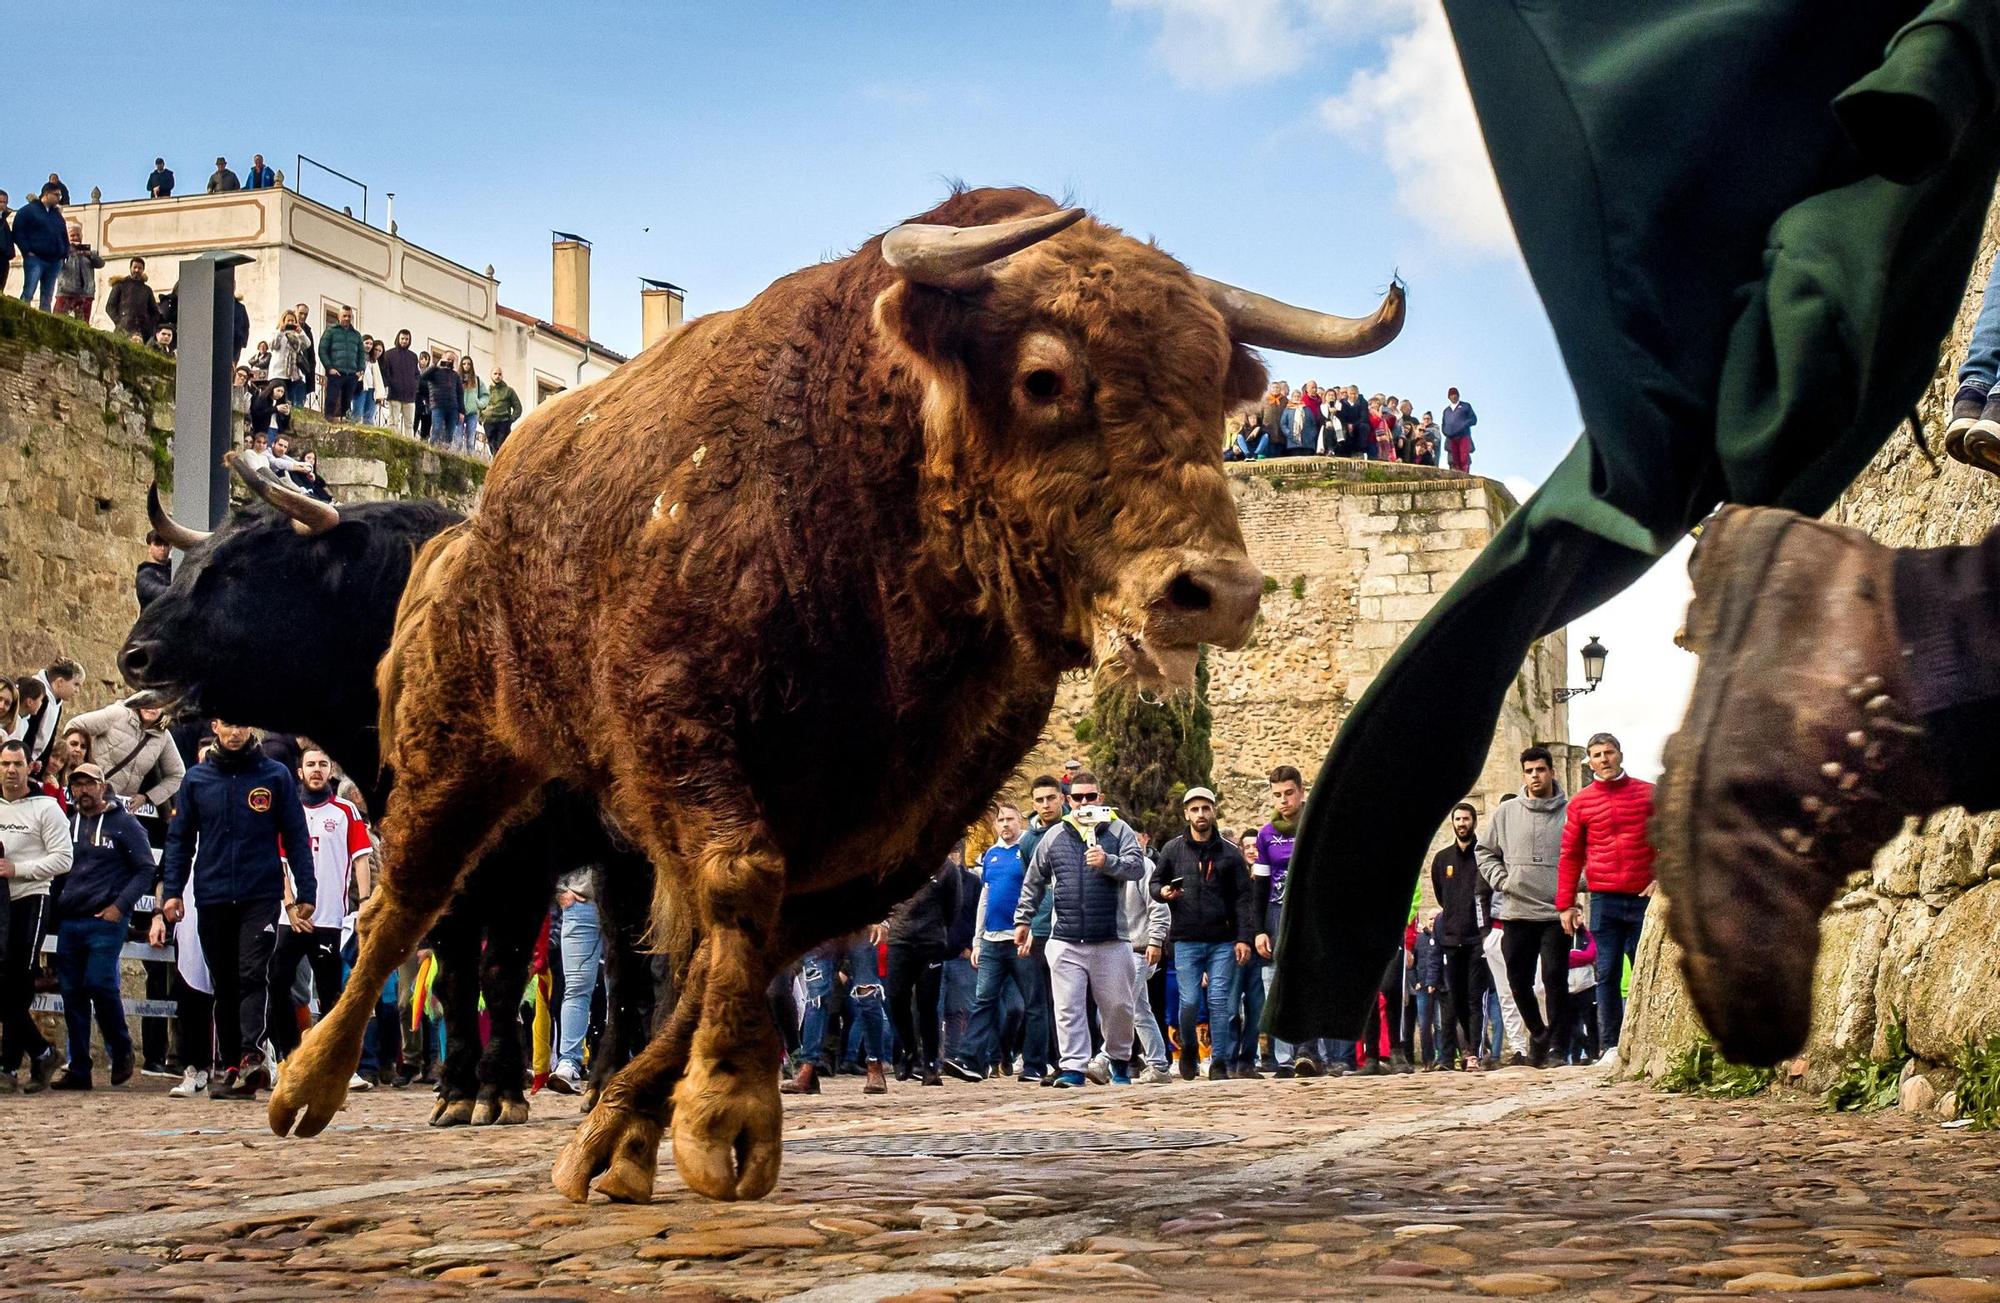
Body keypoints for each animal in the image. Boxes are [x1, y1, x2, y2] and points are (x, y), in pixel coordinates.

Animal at [121, 487, 660, 1119]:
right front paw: (457, 1090)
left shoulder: (526, 857)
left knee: (627, 963)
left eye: (236, 569)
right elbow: (455, 968)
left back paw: (611, 1080)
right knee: (627, 958)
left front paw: (498, 1092)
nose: (134, 656)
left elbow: (500, 970)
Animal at [266, 182, 1400, 1199]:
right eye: (1044, 377)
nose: (1217, 589)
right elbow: (737, 884)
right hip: (457, 749)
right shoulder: (682, 732)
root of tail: (469, 526)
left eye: (1213, 389)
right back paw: (305, 1087)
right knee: (409, 899)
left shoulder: (890, 831)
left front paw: (630, 1133)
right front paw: (722, 1119)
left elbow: (743, 944)